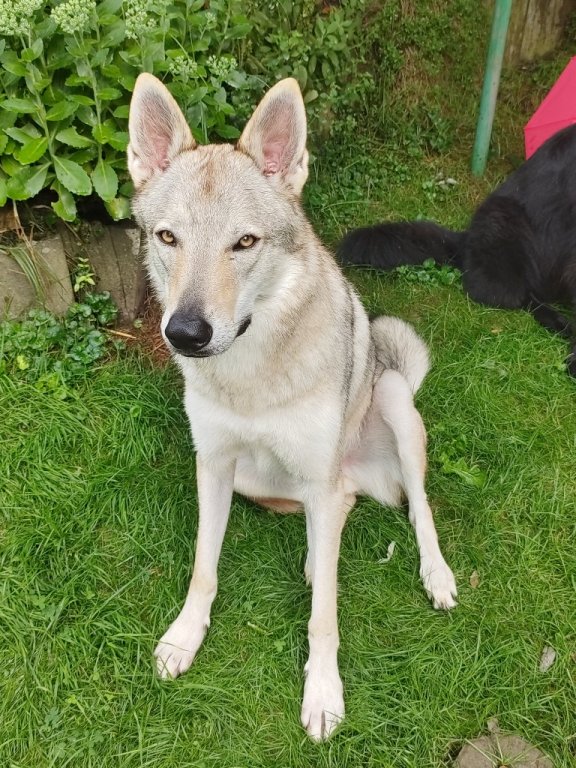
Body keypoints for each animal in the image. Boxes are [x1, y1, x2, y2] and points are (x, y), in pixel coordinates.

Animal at [127, 73, 457, 741]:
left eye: (245, 242)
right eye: (168, 237)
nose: (186, 334)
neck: (251, 375)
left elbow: (324, 616)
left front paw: (323, 693)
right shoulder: (214, 465)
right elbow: (204, 567)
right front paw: (183, 639)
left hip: (393, 399)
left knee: (414, 509)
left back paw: (436, 575)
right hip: (260, 479)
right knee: (336, 506)